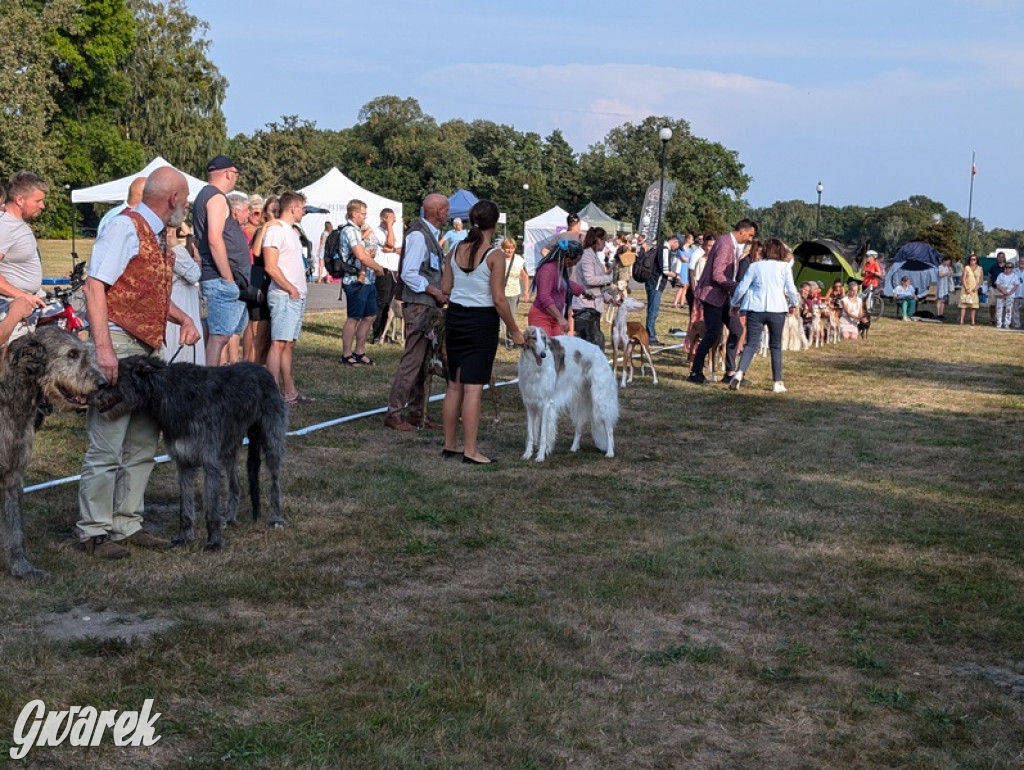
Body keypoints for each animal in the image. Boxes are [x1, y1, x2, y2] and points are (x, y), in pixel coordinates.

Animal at [92, 358, 288, 548]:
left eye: (114, 378)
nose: (93, 394)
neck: (173, 393)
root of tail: (262, 368)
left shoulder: (210, 461)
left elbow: (211, 507)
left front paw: (214, 541)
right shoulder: (183, 462)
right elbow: (185, 507)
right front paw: (184, 537)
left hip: (271, 438)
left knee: (275, 481)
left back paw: (276, 518)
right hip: (230, 447)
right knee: (235, 484)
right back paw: (230, 518)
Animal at [520, 325, 614, 462]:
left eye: (544, 338)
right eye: (533, 338)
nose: (543, 354)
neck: (534, 368)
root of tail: (599, 351)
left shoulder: (545, 404)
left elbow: (543, 435)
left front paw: (540, 456)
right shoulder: (530, 405)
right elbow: (531, 434)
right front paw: (527, 454)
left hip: (600, 399)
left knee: (609, 428)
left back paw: (610, 452)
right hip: (580, 401)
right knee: (579, 427)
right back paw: (574, 448)